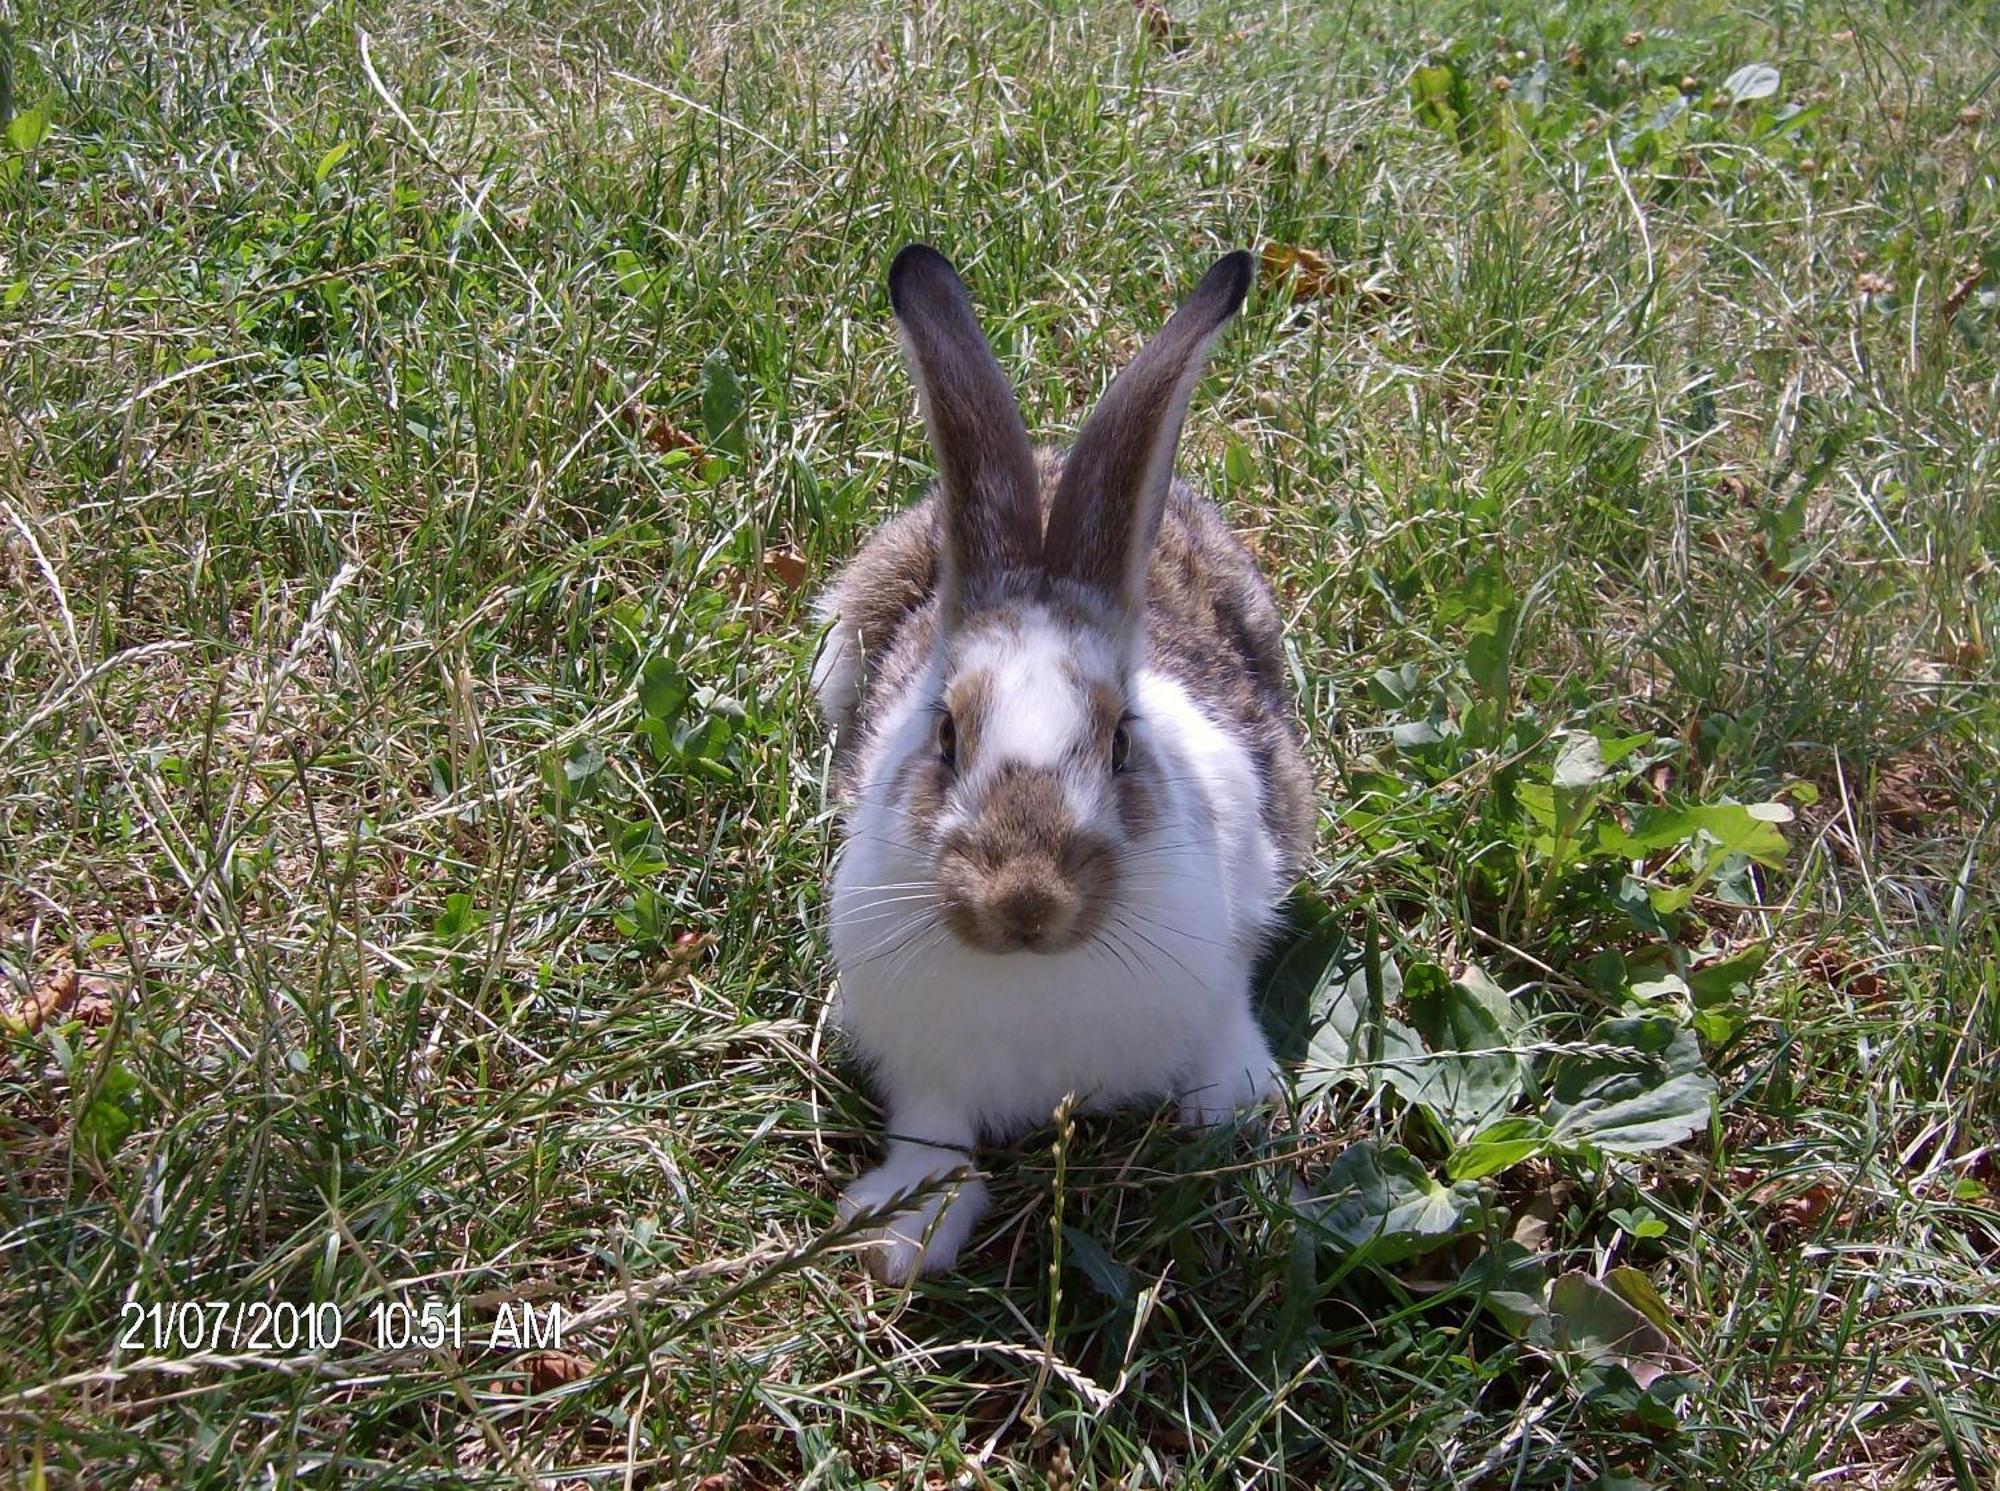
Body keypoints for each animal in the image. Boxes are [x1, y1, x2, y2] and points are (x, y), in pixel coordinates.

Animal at [812, 243, 1312, 1279]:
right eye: (946, 736)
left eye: (1120, 742)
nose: (1024, 901)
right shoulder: (921, 1064)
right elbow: (934, 1135)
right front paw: (906, 1233)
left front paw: (1237, 1101)